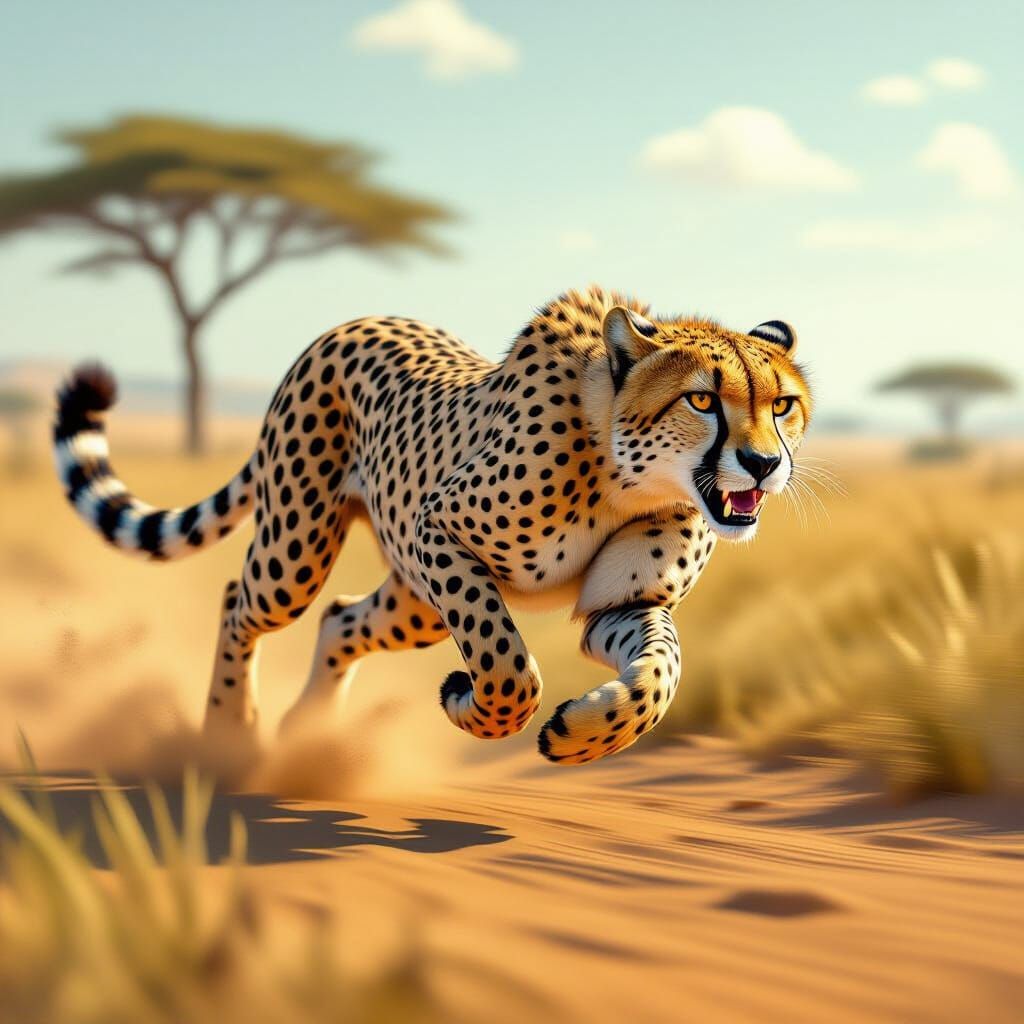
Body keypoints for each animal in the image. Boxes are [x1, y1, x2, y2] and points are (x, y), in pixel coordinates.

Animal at [53, 285, 812, 765]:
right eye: (702, 400)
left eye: (782, 404)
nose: (764, 463)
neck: (626, 475)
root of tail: (351, 321)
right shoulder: (437, 531)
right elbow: (508, 668)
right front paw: (468, 703)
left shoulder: (621, 603)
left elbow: (661, 673)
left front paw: (584, 735)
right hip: (299, 551)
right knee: (242, 599)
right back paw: (229, 732)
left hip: (412, 603)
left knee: (340, 618)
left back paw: (309, 729)